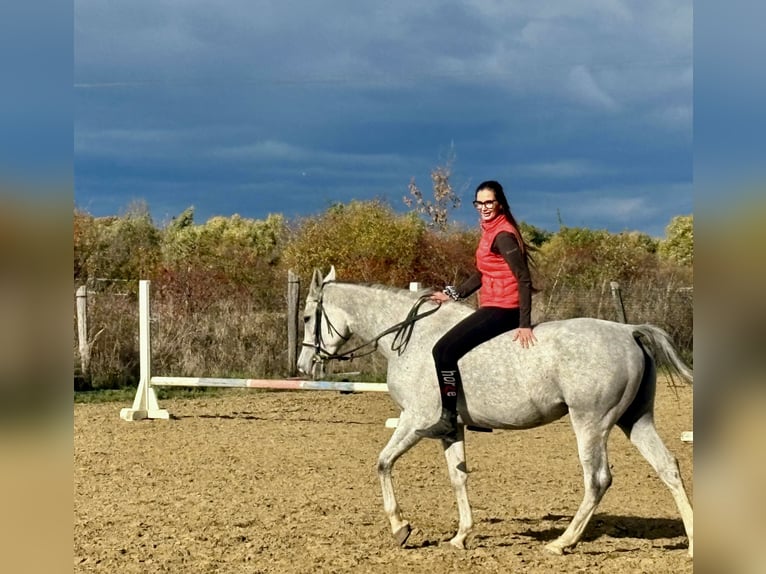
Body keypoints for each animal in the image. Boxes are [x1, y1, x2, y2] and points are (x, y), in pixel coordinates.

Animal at [297, 267, 693, 558]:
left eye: (306, 317)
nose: (303, 365)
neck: (412, 337)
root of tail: (629, 331)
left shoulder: (415, 420)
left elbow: (382, 463)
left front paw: (400, 528)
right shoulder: (449, 428)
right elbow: (458, 477)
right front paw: (461, 536)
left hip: (590, 422)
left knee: (597, 479)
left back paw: (562, 543)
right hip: (634, 420)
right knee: (667, 466)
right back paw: (691, 543)